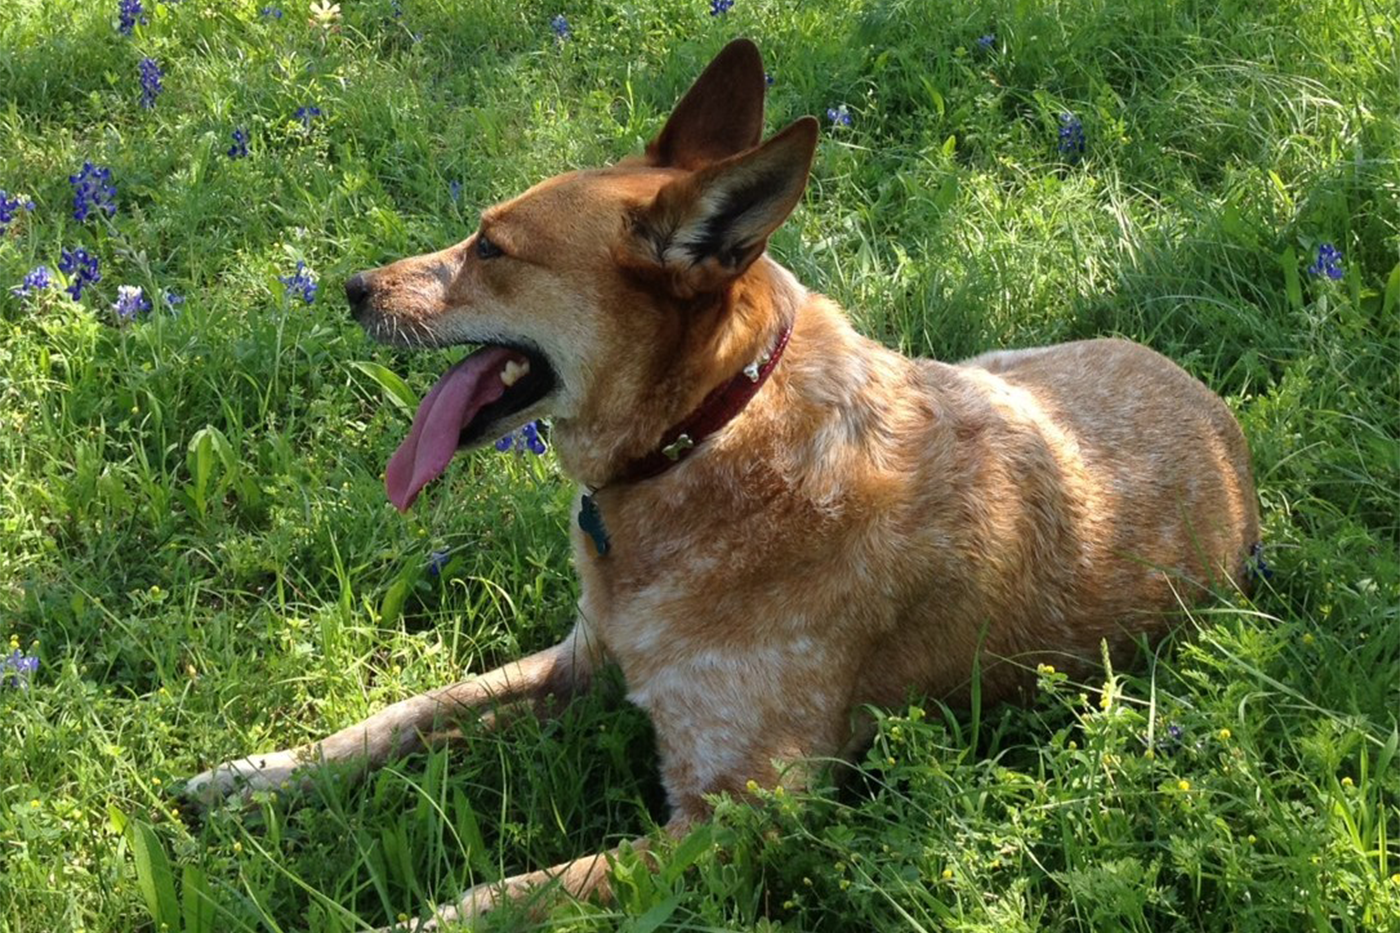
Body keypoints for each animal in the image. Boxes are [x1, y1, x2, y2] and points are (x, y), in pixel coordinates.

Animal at [186, 39, 1260, 924]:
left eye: (490, 246)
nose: (349, 288)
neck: (707, 434)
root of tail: (1221, 418)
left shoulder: (741, 810)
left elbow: (503, 897)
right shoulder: (581, 660)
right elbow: (406, 715)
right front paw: (262, 773)